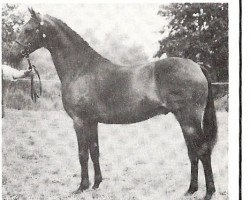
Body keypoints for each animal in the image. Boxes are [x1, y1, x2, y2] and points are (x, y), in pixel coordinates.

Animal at [9, 8, 217, 200]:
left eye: (28, 29)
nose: (12, 54)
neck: (81, 69)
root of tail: (197, 66)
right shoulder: (92, 121)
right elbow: (94, 151)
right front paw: (96, 185)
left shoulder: (79, 121)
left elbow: (82, 154)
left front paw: (81, 187)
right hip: (184, 121)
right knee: (192, 152)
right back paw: (190, 190)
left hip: (189, 120)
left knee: (203, 151)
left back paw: (209, 192)